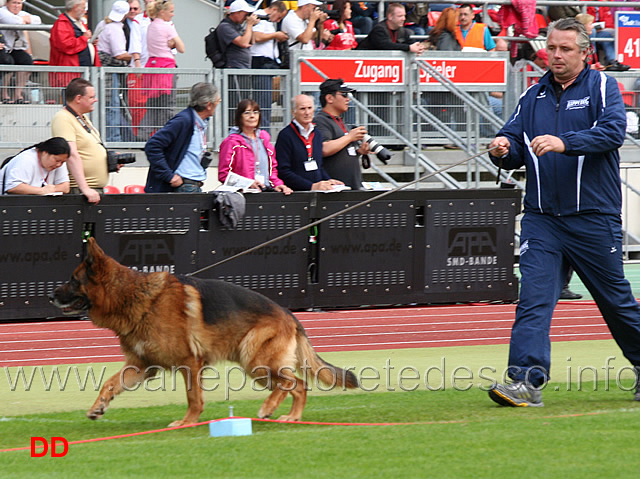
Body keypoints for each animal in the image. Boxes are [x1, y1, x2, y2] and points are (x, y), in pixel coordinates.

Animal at [48, 240, 360, 428]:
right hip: (260, 367)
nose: (51, 295)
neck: (137, 297)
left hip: (255, 362)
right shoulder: (142, 367)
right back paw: (292, 417)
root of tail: (290, 316)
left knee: (292, 383)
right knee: (298, 386)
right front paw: (98, 407)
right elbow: (109, 384)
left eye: (72, 280)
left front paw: (188, 422)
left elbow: (193, 397)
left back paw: (269, 409)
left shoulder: (190, 363)